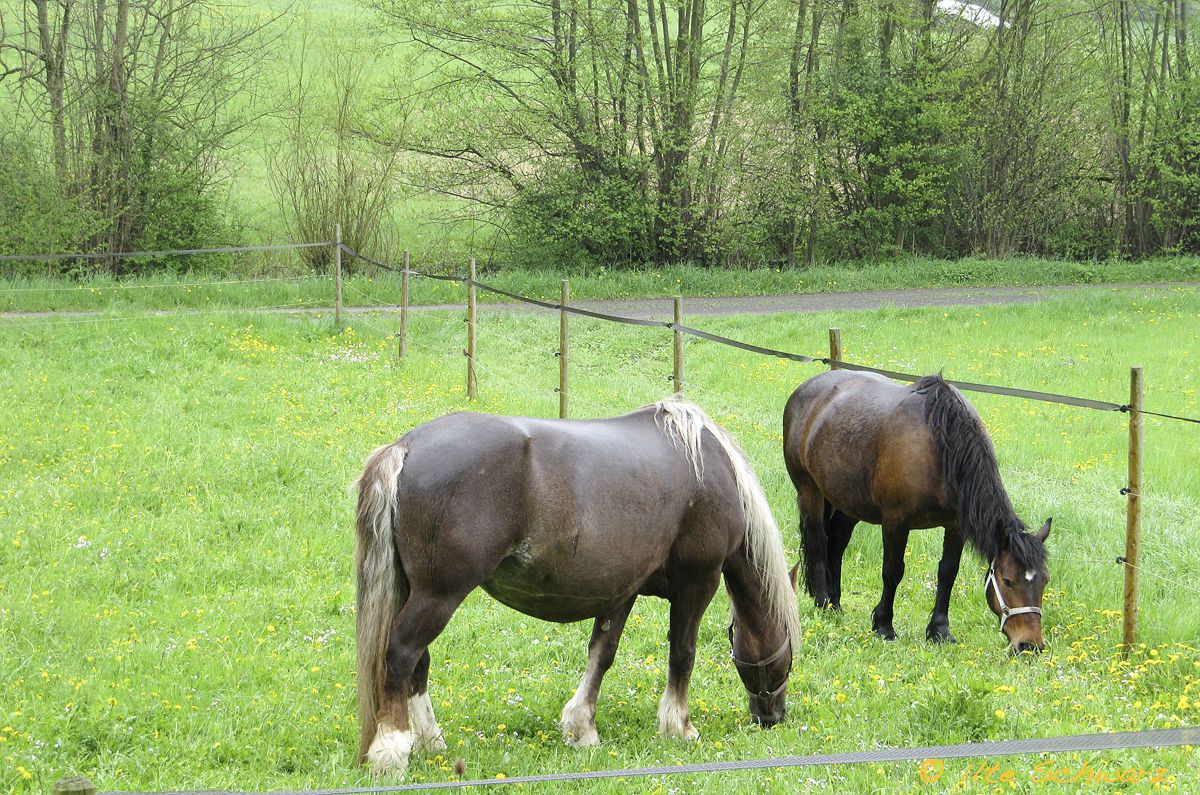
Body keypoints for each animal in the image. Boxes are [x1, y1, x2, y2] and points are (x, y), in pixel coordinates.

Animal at [355, 401, 806, 773]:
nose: (773, 717)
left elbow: (601, 655)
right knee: (401, 654)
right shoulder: (699, 581)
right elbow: (683, 653)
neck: (709, 470)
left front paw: (581, 728)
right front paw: (679, 727)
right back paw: (392, 751)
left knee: (418, 662)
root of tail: (406, 446)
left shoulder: (621, 591)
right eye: (789, 657)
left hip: (416, 592)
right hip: (439, 595)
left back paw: (431, 743)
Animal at [777, 374, 1051, 653]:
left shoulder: (956, 526)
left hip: (848, 503)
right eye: (1007, 581)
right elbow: (893, 571)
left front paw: (939, 630)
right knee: (819, 544)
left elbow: (948, 572)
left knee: (837, 546)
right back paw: (823, 603)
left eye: (1045, 581)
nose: (1030, 644)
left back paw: (835, 605)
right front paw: (883, 625)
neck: (940, 449)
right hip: (810, 492)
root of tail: (806, 388)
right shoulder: (895, 523)